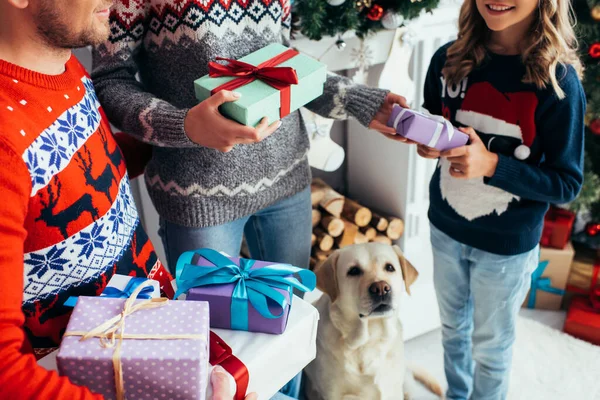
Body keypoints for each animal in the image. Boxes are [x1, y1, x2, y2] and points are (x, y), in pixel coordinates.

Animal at [304, 242, 440, 398]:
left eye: (389, 267)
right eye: (353, 270)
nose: (381, 288)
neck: (370, 338)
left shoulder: (392, 390)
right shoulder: (332, 393)